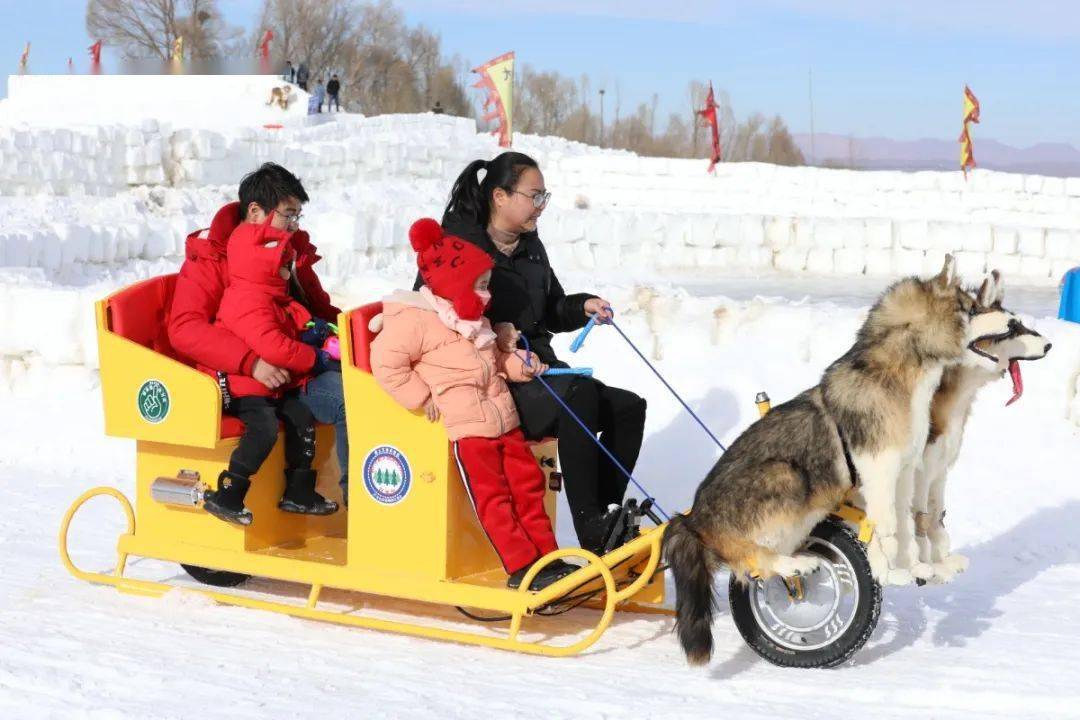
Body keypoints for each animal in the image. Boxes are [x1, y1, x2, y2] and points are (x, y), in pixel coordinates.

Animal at [665, 257, 1010, 664]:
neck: (900, 372)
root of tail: (692, 520)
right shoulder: (880, 468)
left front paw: (915, 568)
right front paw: (890, 572)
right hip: (784, 475)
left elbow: (904, 525)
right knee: (746, 561)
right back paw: (794, 563)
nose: (1012, 323)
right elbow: (887, 527)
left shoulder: (904, 472)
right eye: (972, 309)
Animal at [907, 272, 1049, 587]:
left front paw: (941, 562)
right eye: (1012, 328)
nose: (1049, 346)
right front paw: (924, 567)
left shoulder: (940, 470)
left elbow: (935, 516)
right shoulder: (920, 472)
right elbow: (917, 519)